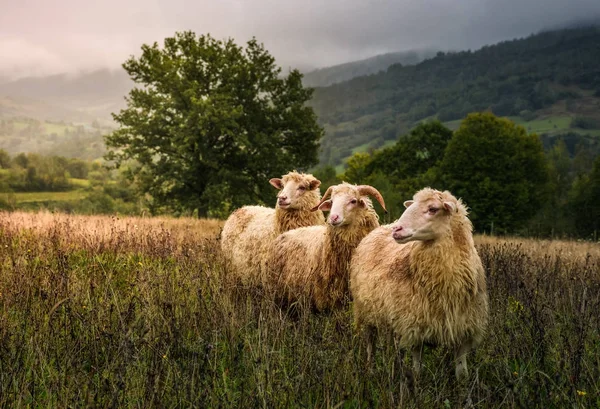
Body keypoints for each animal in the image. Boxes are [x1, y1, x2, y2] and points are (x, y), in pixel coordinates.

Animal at [352, 186, 488, 378]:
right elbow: (417, 371)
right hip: (366, 312)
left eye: (433, 209)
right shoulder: (415, 327)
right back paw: (370, 370)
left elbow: (462, 373)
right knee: (370, 344)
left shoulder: (464, 331)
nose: (397, 229)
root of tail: (383, 226)